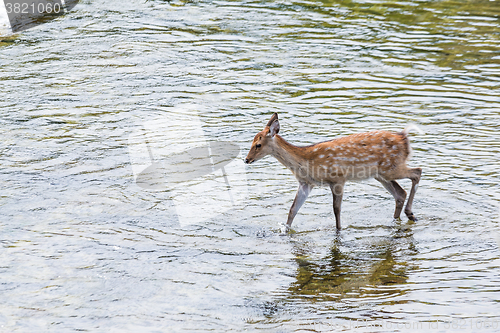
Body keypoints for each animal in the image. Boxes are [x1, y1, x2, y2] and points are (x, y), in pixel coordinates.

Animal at [245, 113, 422, 232]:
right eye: (251, 141)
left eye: (258, 145)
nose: (246, 159)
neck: (306, 162)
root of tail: (404, 137)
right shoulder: (305, 183)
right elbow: (293, 209)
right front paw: (284, 230)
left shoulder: (338, 179)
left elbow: (336, 209)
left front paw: (338, 230)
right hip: (381, 174)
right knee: (400, 193)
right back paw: (399, 219)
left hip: (391, 168)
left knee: (417, 172)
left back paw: (410, 214)